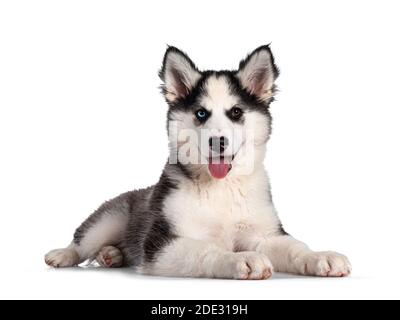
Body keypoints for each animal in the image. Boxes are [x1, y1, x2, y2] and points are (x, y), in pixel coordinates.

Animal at [44, 45, 350, 280]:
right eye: (201, 113)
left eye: (236, 112)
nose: (218, 142)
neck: (222, 188)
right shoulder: (160, 244)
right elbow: (205, 250)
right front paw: (240, 259)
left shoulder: (265, 233)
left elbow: (294, 247)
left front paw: (321, 256)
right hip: (109, 218)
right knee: (83, 240)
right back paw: (64, 254)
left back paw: (111, 255)